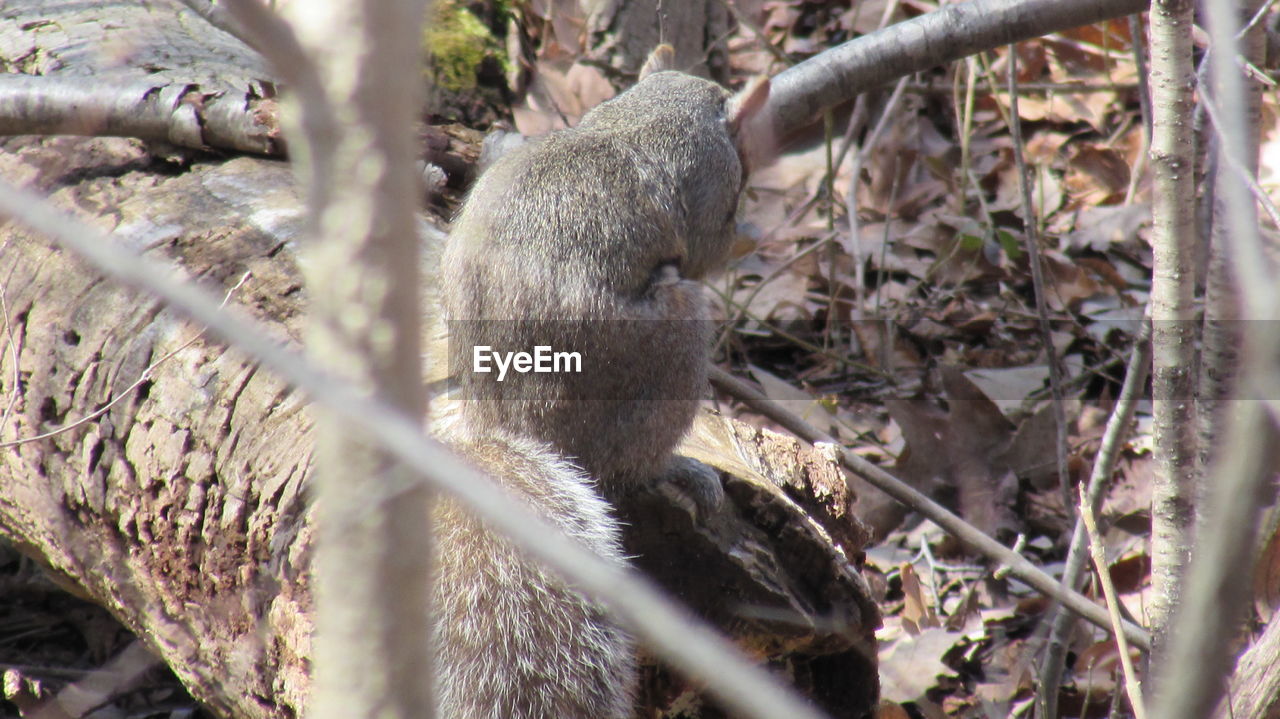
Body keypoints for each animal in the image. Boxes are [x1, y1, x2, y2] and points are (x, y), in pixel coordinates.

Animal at [432, 46, 768, 716]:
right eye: (740, 155)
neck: (634, 121)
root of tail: (505, 426)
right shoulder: (706, 198)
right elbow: (710, 247)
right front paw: (747, 234)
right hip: (674, 343)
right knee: (626, 469)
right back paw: (678, 468)